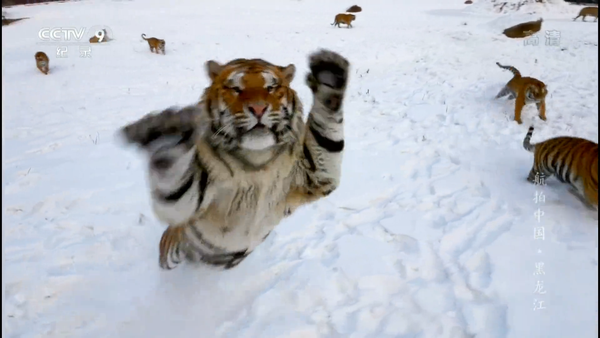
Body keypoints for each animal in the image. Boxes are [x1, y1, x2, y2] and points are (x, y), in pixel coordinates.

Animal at [119, 49, 350, 270]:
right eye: (236, 89)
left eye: (270, 88)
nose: (259, 108)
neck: (258, 160)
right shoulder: (189, 203)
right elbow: (175, 187)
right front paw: (167, 133)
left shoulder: (313, 175)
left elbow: (326, 134)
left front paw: (329, 73)